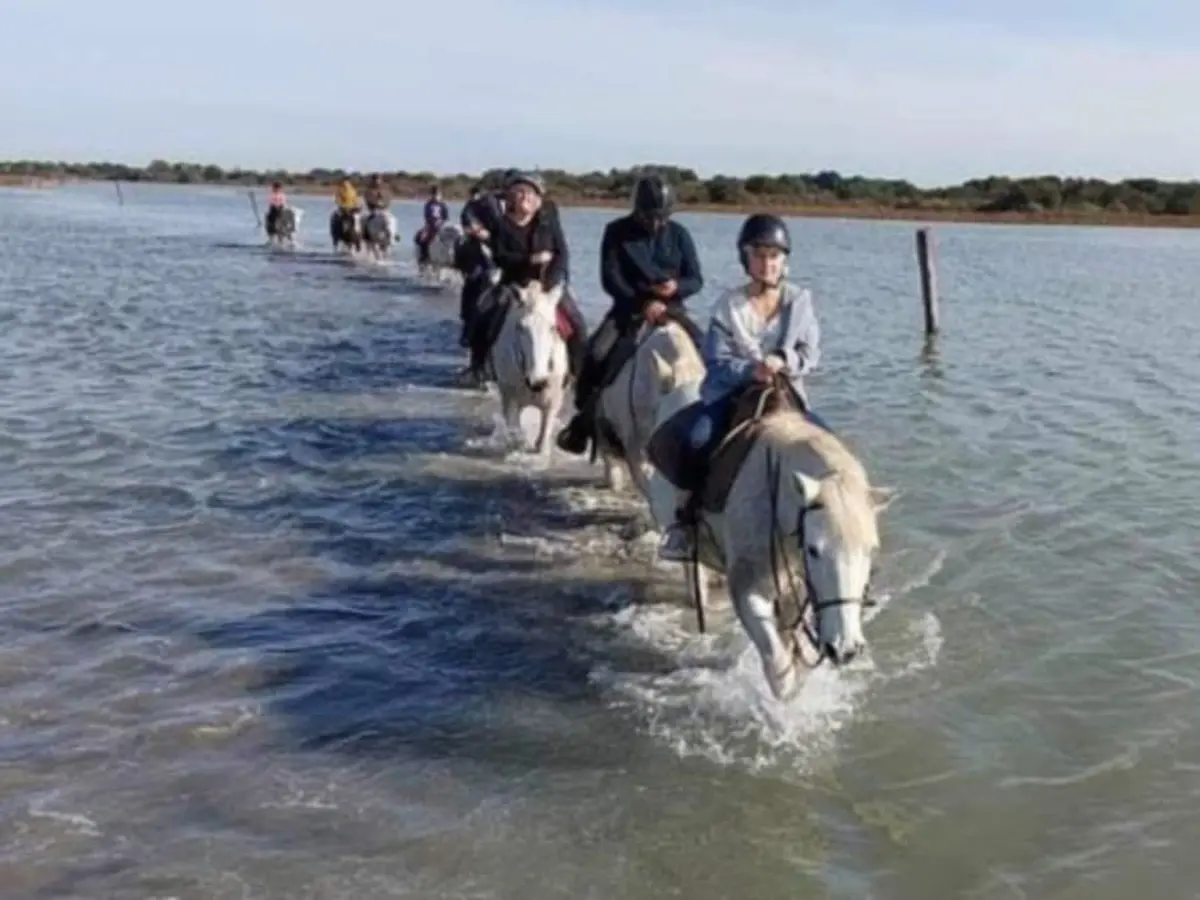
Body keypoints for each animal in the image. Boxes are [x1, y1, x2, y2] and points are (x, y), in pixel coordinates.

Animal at [489, 281, 571, 460]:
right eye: (521, 327)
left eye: (552, 327)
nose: (538, 382)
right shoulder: (511, 401)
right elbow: (515, 432)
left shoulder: (552, 404)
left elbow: (542, 443)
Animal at [644, 354, 889, 700]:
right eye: (813, 549)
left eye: (871, 551)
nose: (845, 649)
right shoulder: (748, 590)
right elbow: (778, 664)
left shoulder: (795, 588)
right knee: (692, 569)